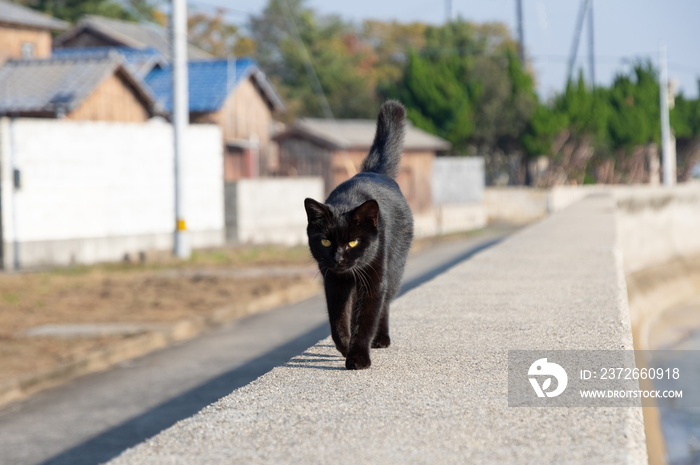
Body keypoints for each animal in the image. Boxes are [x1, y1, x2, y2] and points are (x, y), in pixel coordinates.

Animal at [304, 101, 412, 370]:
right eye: (325, 241)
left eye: (353, 241)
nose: (338, 258)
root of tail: (374, 172)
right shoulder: (334, 281)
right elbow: (338, 321)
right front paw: (345, 347)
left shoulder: (374, 279)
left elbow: (366, 319)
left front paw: (359, 357)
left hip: (394, 269)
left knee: (384, 304)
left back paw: (381, 338)